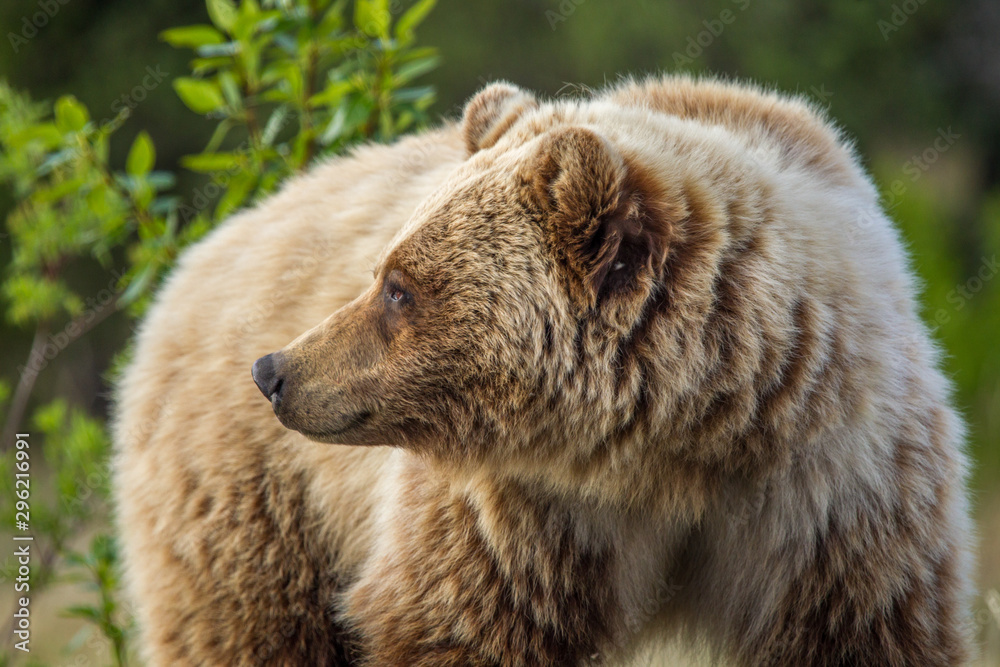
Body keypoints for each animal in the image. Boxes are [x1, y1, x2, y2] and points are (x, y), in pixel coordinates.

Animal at [114, 75, 973, 666]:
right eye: (381, 271)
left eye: (399, 287)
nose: (274, 369)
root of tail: (193, 258)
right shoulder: (517, 516)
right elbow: (457, 625)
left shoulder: (835, 502)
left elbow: (864, 628)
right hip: (251, 504)